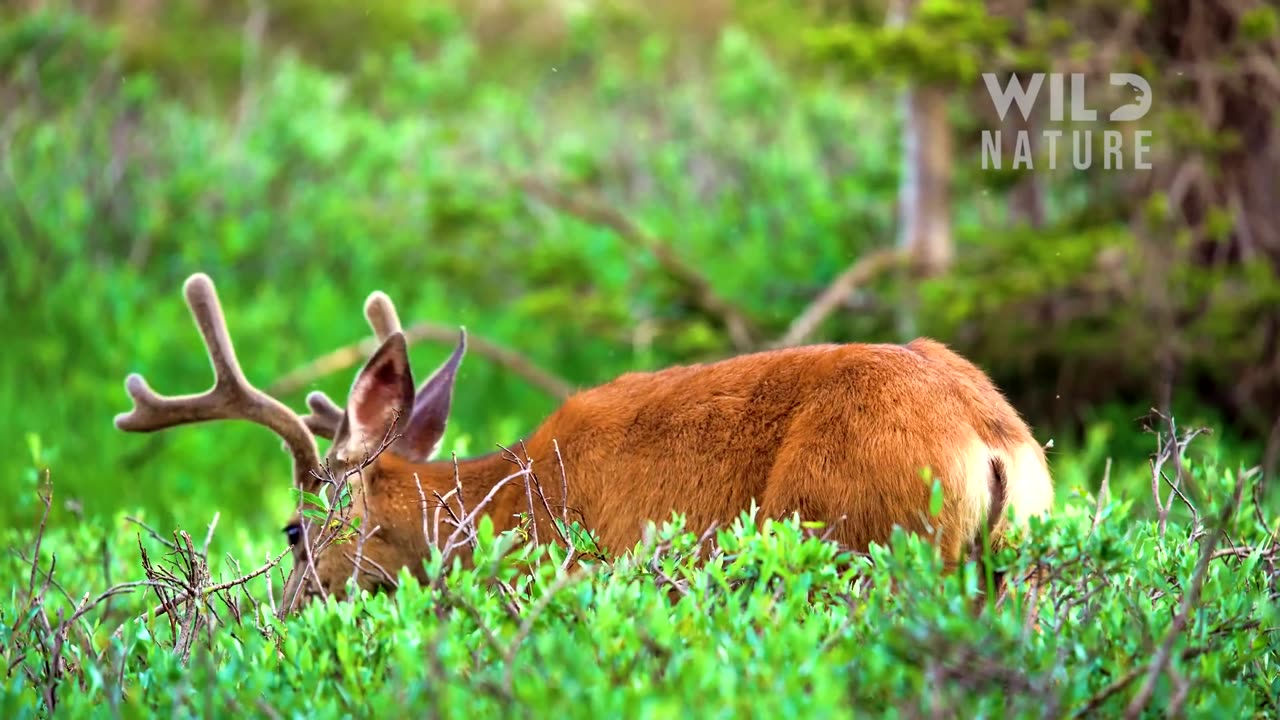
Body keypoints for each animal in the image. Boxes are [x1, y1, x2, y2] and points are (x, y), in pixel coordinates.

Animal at [115, 271, 1054, 614]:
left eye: (292, 531)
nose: (280, 616)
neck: (494, 507)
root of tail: (991, 441)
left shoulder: (561, 576)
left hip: (855, 544)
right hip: (1012, 568)